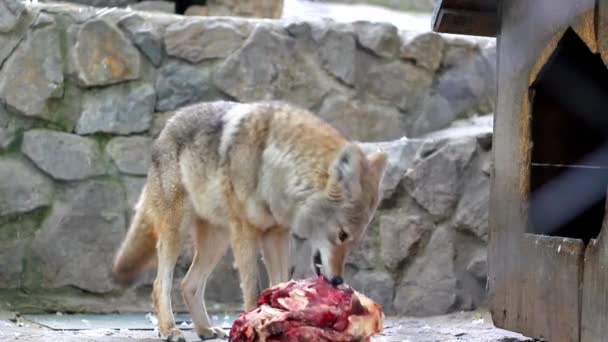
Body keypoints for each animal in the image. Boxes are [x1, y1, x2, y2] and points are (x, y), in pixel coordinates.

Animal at [111, 100, 388, 340]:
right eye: (342, 235)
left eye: (352, 242)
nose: (338, 281)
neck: (276, 169)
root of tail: (168, 125)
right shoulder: (246, 233)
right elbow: (253, 289)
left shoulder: (276, 235)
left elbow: (279, 283)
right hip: (178, 233)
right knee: (161, 285)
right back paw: (170, 330)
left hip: (218, 241)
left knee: (189, 284)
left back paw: (205, 330)